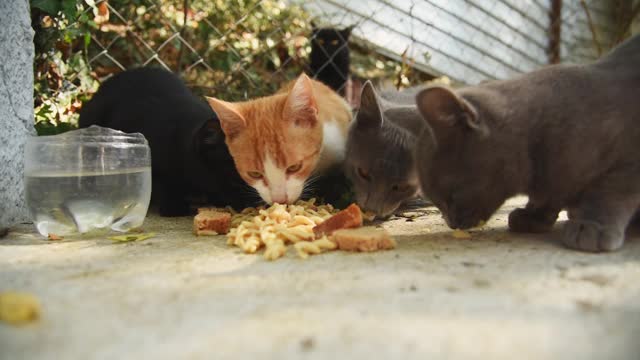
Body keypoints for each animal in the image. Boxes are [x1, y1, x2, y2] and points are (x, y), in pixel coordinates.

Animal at [416, 35, 640, 252]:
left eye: (451, 195)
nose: (451, 223)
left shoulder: (628, 160)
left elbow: (608, 192)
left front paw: (591, 226)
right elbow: (549, 196)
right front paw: (533, 215)